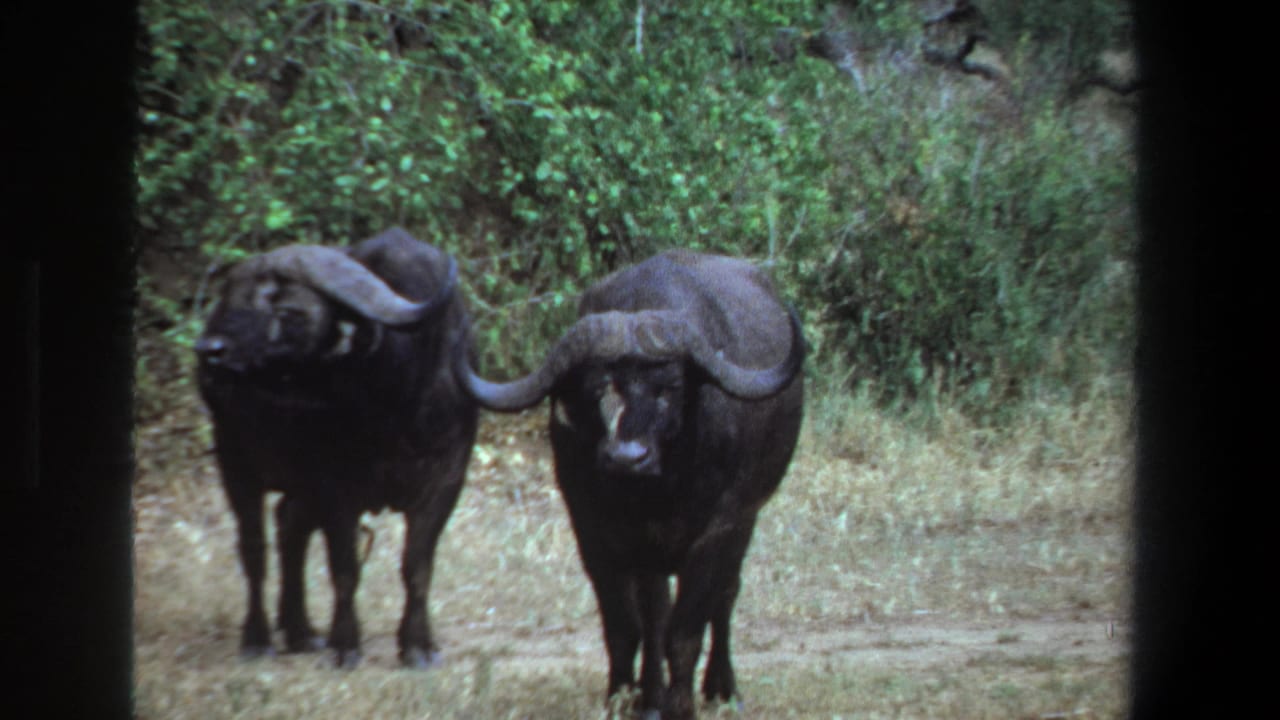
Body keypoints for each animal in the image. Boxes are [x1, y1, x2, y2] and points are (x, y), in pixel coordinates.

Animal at [195, 227, 476, 668]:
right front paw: (346, 644)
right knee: (255, 549)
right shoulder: (336, 486)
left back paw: (300, 630)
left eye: (288, 311)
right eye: (230, 298)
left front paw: (417, 645)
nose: (210, 350)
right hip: (235, 461)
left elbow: (417, 565)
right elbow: (345, 567)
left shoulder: (447, 477)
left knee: (289, 525)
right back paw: (258, 638)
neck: (397, 399)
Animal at [455, 250, 805, 718]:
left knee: (725, 597)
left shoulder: (720, 530)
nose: (626, 457)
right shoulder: (595, 533)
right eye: (597, 388)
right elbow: (627, 627)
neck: (656, 494)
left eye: (669, 387)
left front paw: (681, 705)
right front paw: (624, 697)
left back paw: (722, 689)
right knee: (656, 614)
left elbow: (686, 629)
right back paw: (651, 697)